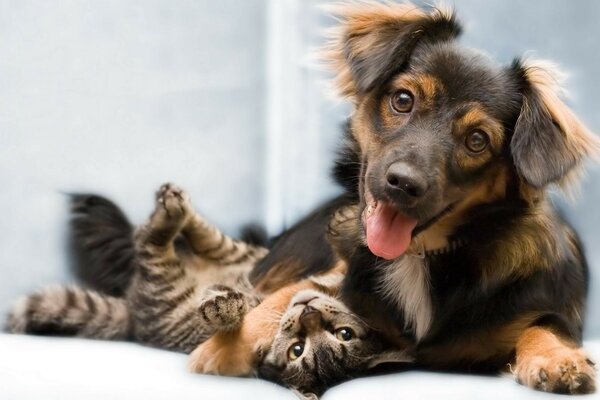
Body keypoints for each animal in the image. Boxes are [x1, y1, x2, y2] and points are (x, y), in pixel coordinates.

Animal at [7, 184, 410, 396]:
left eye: (299, 350)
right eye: (344, 333)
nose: (309, 312)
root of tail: (133, 313)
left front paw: (223, 306)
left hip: (166, 287)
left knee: (150, 243)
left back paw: (170, 216)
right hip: (243, 256)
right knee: (210, 239)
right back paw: (178, 206)